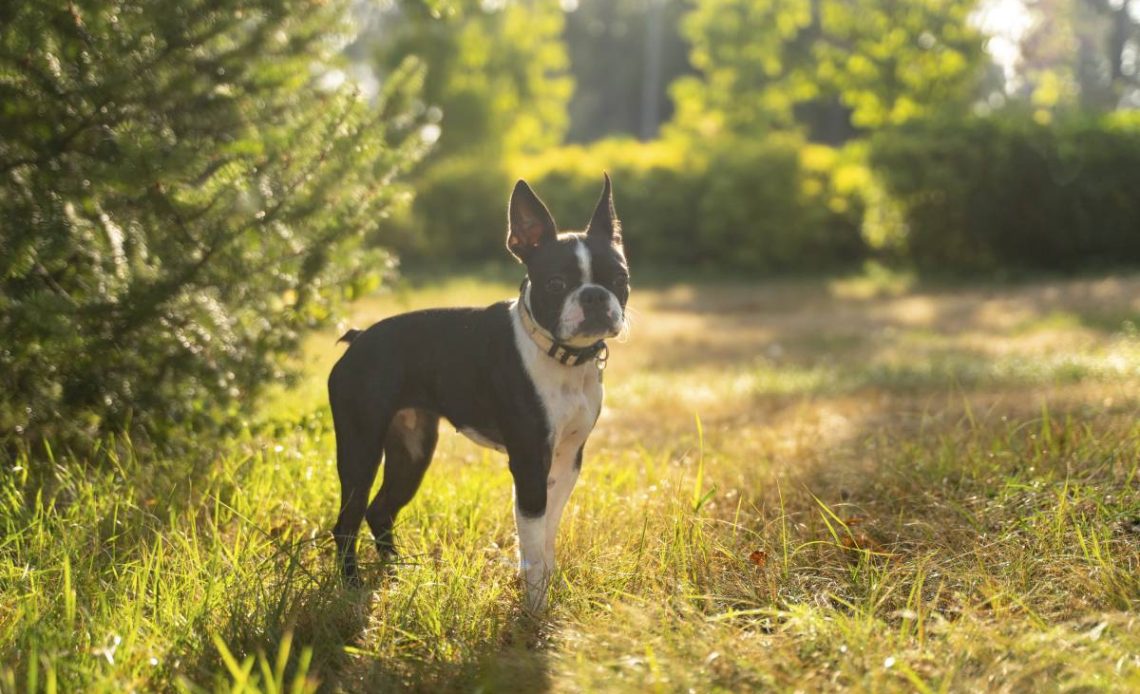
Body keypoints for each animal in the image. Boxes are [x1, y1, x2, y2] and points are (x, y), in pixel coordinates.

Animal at [330, 174, 629, 610]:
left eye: (620, 279)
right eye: (556, 284)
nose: (593, 295)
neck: (560, 357)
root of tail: (359, 337)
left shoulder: (568, 459)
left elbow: (547, 534)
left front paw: (547, 586)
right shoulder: (529, 460)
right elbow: (532, 539)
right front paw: (534, 608)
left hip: (412, 450)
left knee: (380, 510)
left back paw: (398, 575)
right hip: (361, 448)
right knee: (346, 522)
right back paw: (351, 587)